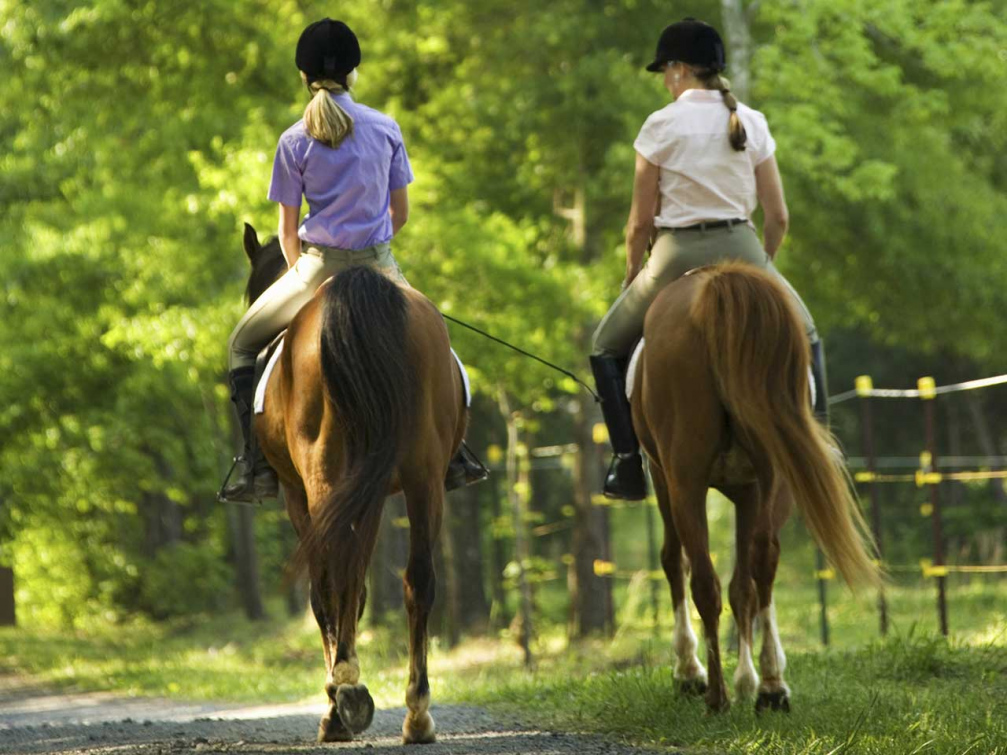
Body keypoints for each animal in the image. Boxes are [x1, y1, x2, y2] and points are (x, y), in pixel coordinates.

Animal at [241, 224, 465, 744]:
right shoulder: (375, 492)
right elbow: (361, 584)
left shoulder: (297, 494)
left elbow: (327, 587)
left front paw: (335, 702)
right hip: (423, 476)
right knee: (418, 579)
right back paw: (416, 715)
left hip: (323, 474)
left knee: (333, 570)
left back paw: (346, 691)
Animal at [632, 263, 878, 716]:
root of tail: (718, 280)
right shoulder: (751, 489)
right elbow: (744, 583)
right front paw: (752, 679)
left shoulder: (664, 476)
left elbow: (679, 563)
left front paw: (691, 672)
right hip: (776, 473)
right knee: (760, 560)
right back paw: (770, 688)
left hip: (683, 479)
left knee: (702, 577)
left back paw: (717, 694)